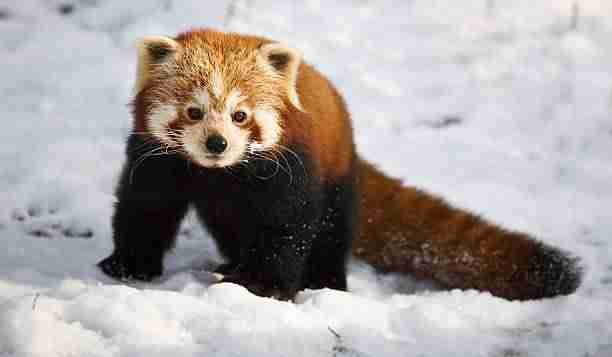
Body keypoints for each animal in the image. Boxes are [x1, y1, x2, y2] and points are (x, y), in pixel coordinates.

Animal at [98, 28, 580, 300]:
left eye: (241, 115)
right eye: (194, 112)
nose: (217, 144)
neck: (220, 173)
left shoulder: (289, 167)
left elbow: (288, 226)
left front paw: (264, 285)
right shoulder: (156, 158)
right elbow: (145, 208)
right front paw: (130, 264)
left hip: (337, 174)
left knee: (332, 229)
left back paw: (323, 279)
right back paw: (230, 262)